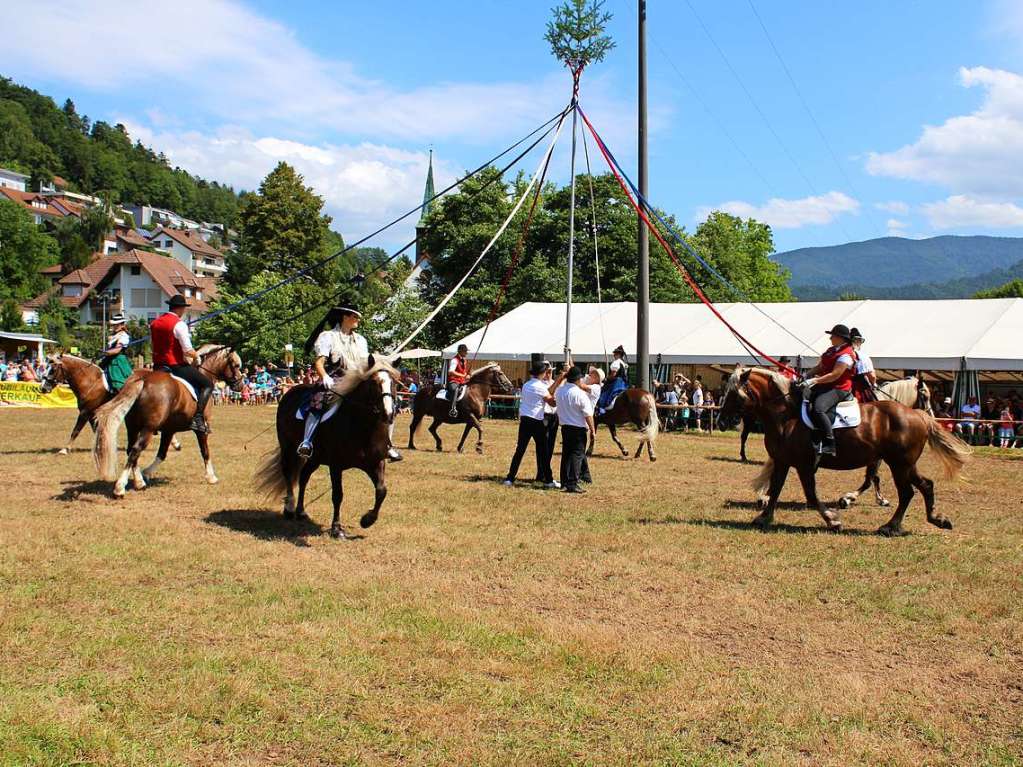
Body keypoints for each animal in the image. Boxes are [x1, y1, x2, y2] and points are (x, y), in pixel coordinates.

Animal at [40, 353, 182, 456]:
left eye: (52, 369)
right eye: (45, 367)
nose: (43, 388)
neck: (90, 381)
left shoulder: (85, 412)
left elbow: (75, 431)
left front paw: (64, 449)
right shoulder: (92, 414)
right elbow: (96, 430)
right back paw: (175, 443)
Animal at [92, 347, 243, 499]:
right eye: (236, 365)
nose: (240, 385)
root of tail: (142, 380)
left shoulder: (169, 430)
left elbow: (162, 453)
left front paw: (147, 473)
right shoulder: (201, 429)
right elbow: (205, 451)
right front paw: (211, 477)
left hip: (133, 427)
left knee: (131, 450)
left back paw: (139, 482)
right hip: (148, 428)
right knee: (135, 449)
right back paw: (120, 488)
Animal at [253, 355, 396, 539]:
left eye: (393, 383)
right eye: (374, 383)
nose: (389, 414)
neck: (361, 428)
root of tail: (289, 392)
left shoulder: (376, 463)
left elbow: (381, 491)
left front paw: (367, 520)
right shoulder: (336, 465)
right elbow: (337, 495)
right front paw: (336, 529)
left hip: (315, 458)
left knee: (304, 476)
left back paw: (301, 512)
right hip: (288, 448)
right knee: (288, 473)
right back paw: (290, 508)